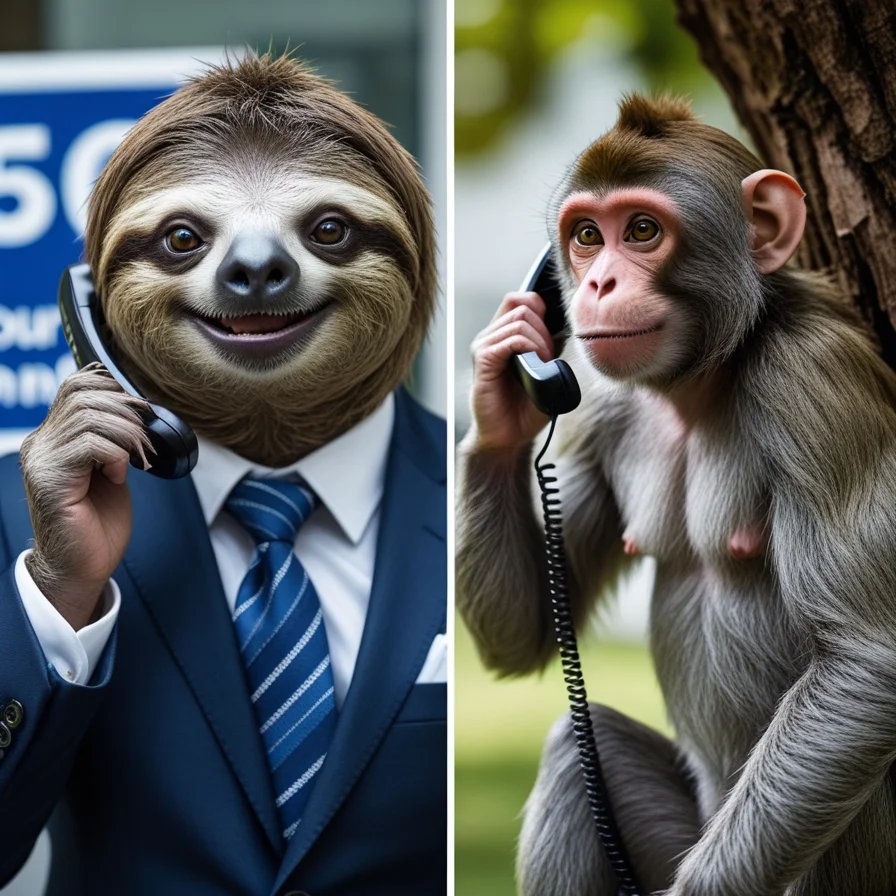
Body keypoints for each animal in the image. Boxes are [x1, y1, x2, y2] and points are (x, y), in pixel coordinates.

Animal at [456, 94, 896, 896]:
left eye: (642, 230)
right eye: (587, 237)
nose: (596, 285)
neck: (704, 380)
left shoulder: (815, 379)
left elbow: (866, 659)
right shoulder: (601, 407)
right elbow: (527, 635)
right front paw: (498, 393)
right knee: (578, 751)